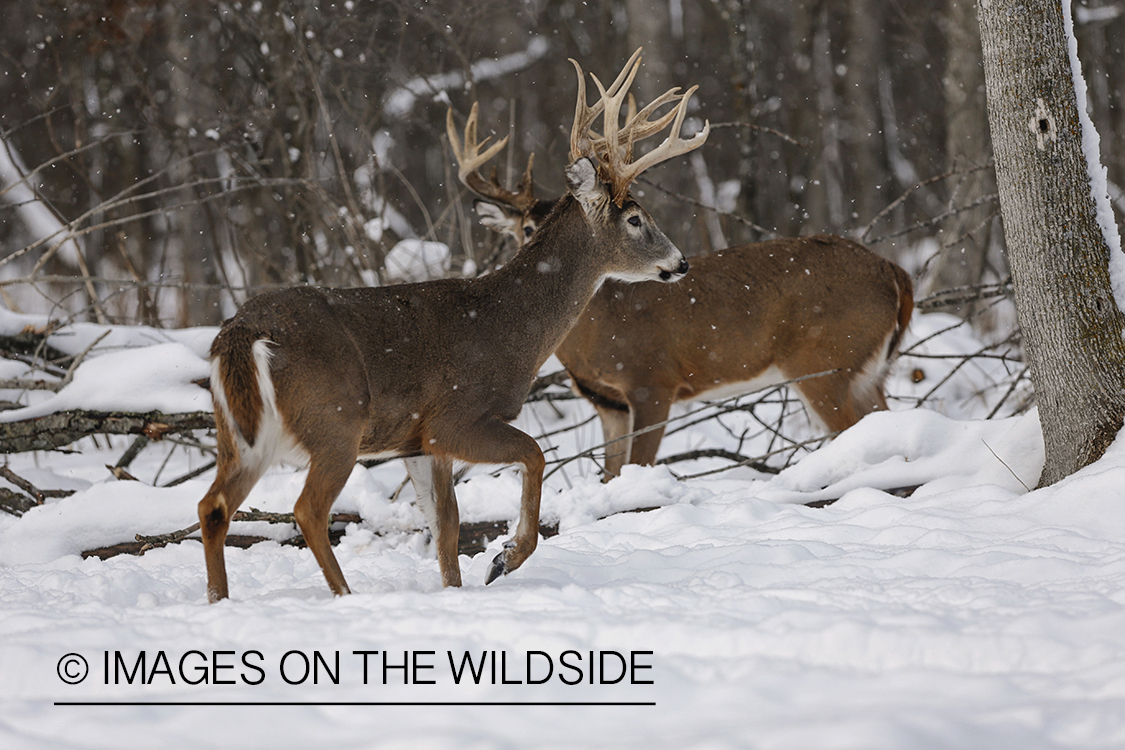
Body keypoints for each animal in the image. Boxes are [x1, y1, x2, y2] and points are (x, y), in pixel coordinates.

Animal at [193, 49, 702, 602]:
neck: (510, 327)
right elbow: (533, 456)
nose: (680, 262)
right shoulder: (455, 417)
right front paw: (505, 558)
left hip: (240, 434)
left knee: (212, 506)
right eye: (635, 219)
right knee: (307, 509)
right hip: (336, 421)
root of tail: (243, 331)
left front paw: (457, 587)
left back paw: (219, 601)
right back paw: (345, 596)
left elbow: (445, 527)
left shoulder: (418, 442)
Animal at [454, 123, 913, 479]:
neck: (600, 330)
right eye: (526, 226)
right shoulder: (607, 403)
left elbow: (636, 469)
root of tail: (894, 270)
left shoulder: (653, 381)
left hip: (825, 362)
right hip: (867, 371)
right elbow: (610, 475)